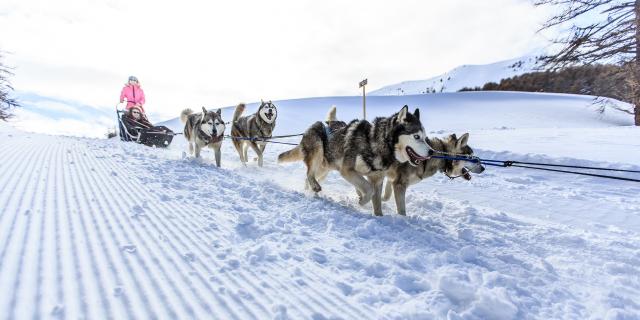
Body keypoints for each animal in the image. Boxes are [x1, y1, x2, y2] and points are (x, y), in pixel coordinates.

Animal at [278, 105, 430, 215]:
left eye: (425, 137)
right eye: (416, 136)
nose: (431, 152)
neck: (374, 142)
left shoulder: (377, 179)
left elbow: (376, 201)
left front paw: (378, 216)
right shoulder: (347, 171)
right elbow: (368, 189)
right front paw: (361, 201)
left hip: (324, 169)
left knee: (308, 176)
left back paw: (309, 191)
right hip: (318, 149)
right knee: (309, 173)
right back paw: (314, 187)